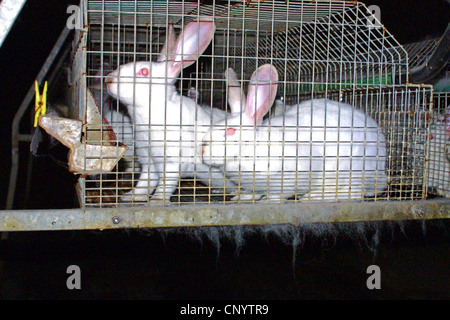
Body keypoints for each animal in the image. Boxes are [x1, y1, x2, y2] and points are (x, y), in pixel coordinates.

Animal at [104, 19, 234, 202]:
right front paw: (131, 197)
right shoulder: (149, 160)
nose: (108, 80)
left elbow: (165, 184)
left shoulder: (172, 162)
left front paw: (157, 201)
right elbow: (145, 182)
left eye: (144, 71)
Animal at [200, 63, 386, 201]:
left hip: (352, 171)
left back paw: (314, 197)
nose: (202, 149)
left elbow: (279, 195)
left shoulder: (290, 176)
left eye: (230, 131)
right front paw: (240, 197)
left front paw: (267, 201)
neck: (254, 146)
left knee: (353, 193)